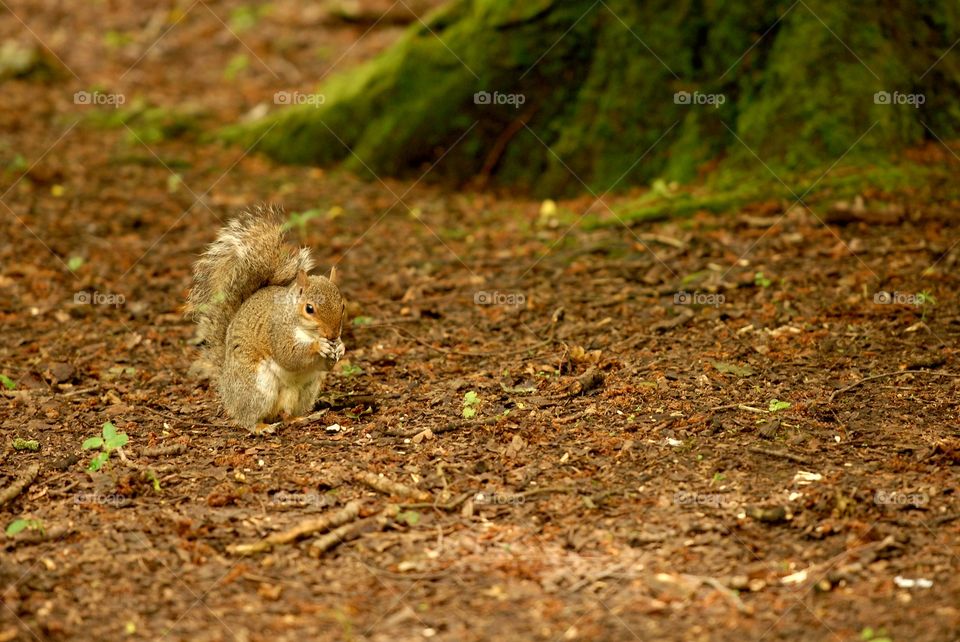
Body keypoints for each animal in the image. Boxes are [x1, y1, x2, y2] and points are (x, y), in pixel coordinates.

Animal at [186, 205, 345, 434]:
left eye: (343, 306)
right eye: (309, 309)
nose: (332, 335)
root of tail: (226, 383)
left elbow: (326, 366)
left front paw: (340, 347)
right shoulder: (276, 330)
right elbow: (289, 355)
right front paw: (319, 346)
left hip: (304, 390)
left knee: (286, 413)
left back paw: (303, 418)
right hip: (257, 387)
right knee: (247, 417)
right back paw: (261, 427)